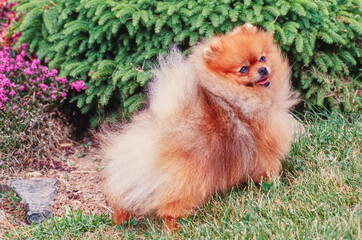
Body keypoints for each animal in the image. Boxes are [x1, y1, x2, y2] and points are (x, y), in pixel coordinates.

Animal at [100, 23, 298, 228]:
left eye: (262, 58)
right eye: (243, 69)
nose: (263, 70)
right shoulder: (265, 151)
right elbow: (269, 170)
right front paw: (275, 184)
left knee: (122, 198)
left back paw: (120, 218)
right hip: (186, 182)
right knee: (171, 208)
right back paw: (176, 227)